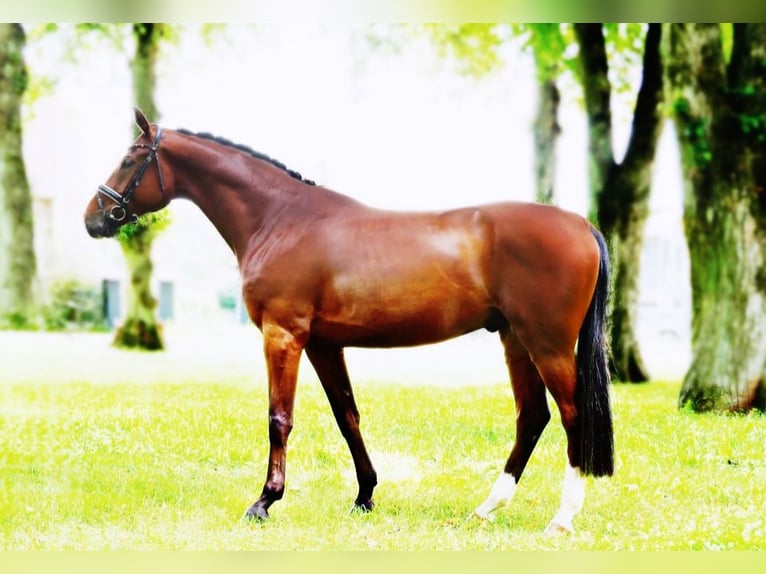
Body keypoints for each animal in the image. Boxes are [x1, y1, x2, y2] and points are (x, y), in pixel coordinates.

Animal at [84, 107, 613, 534]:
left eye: (130, 158)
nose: (94, 217)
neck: (280, 218)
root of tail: (581, 224)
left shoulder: (283, 336)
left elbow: (279, 418)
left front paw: (264, 502)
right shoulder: (323, 344)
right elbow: (347, 416)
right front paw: (365, 495)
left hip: (546, 344)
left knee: (572, 416)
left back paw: (562, 518)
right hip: (514, 340)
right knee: (533, 416)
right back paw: (486, 508)